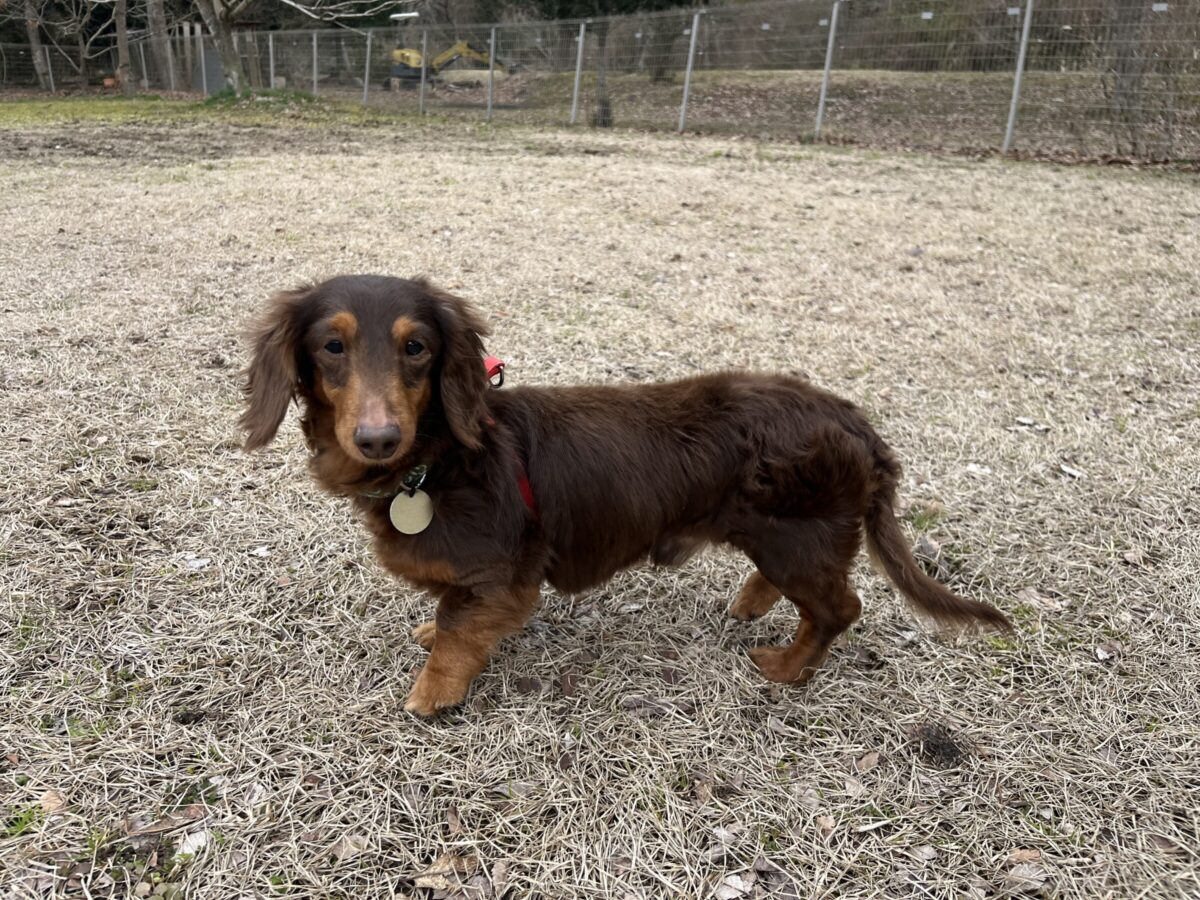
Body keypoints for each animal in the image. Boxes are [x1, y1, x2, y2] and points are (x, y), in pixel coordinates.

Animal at [241, 275, 1009, 715]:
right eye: (332, 346)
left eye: (417, 347)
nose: (377, 438)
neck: (437, 462)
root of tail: (855, 421)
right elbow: (448, 613)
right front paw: (431, 631)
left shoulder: (501, 576)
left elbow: (460, 634)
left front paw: (432, 693)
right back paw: (753, 604)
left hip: (797, 538)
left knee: (838, 608)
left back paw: (787, 668)